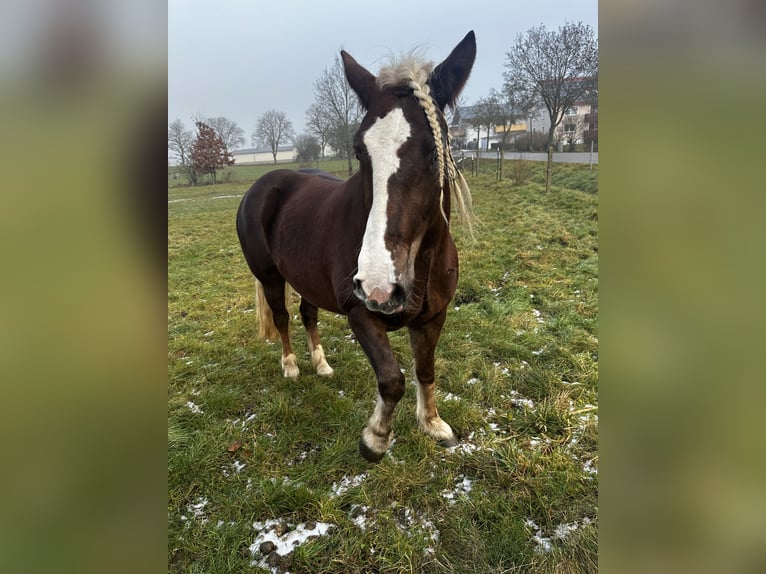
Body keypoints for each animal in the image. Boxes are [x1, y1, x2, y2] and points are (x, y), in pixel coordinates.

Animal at [237, 30, 476, 464]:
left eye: (435, 150)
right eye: (359, 149)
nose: (379, 285)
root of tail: (262, 184)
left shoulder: (434, 317)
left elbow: (425, 370)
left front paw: (434, 425)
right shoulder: (361, 314)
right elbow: (392, 379)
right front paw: (375, 439)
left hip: (306, 277)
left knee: (307, 314)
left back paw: (321, 364)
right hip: (271, 276)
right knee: (282, 318)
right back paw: (292, 366)